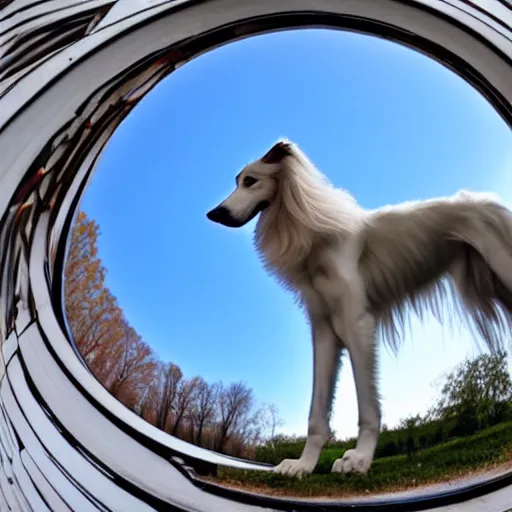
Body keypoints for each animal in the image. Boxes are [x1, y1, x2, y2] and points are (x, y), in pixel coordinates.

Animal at [205, 139, 512, 476]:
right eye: (238, 181)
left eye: (251, 181)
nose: (213, 214)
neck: (317, 237)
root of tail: (488, 202)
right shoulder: (324, 330)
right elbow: (316, 411)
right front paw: (303, 465)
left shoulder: (356, 323)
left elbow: (368, 406)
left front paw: (360, 459)